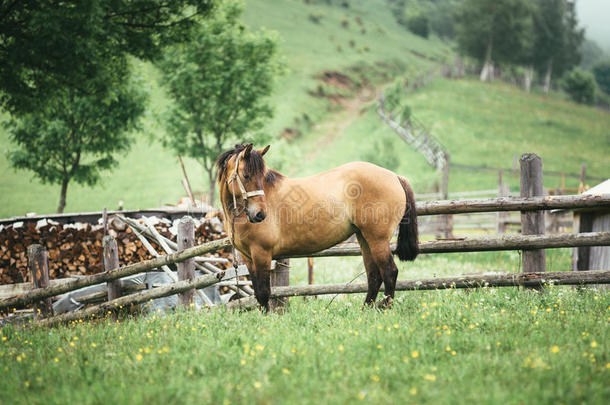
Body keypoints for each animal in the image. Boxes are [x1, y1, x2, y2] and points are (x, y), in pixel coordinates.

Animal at [215, 143, 418, 310]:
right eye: (246, 175)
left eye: (262, 176)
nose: (260, 214)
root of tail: (394, 176)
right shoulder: (248, 257)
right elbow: (258, 292)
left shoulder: (262, 253)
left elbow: (264, 293)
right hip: (364, 239)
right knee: (374, 276)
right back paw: (365, 311)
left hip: (378, 240)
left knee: (389, 272)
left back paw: (385, 309)